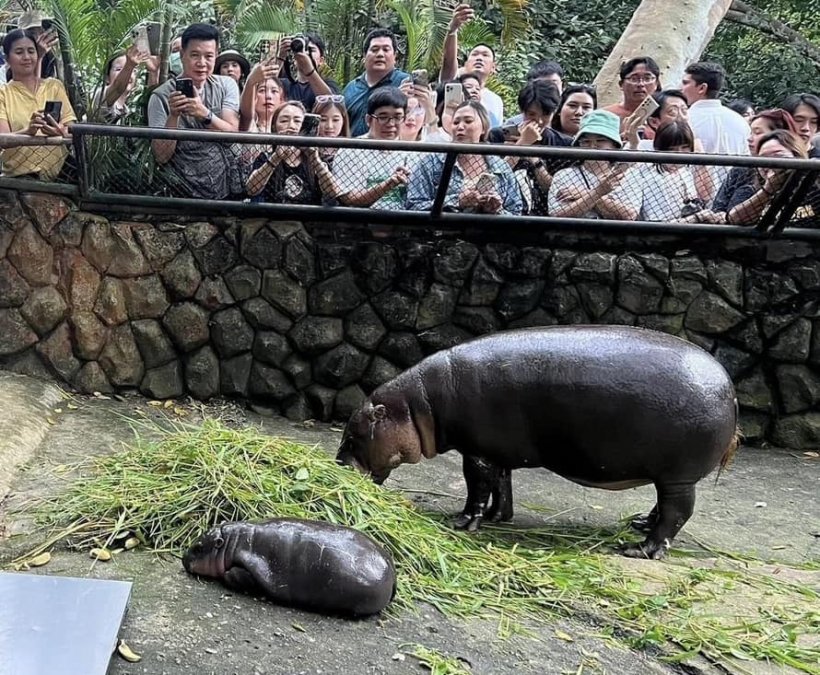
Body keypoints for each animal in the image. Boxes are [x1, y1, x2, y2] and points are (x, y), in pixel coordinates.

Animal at [336, 328, 740, 560]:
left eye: (353, 436)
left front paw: (461, 522)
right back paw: (639, 524)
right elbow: (502, 485)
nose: (337, 465)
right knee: (663, 506)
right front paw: (498, 517)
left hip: (678, 475)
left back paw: (640, 550)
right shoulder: (495, 451)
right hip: (666, 474)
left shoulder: (476, 452)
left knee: (677, 512)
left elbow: (477, 487)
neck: (419, 405)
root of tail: (731, 390)